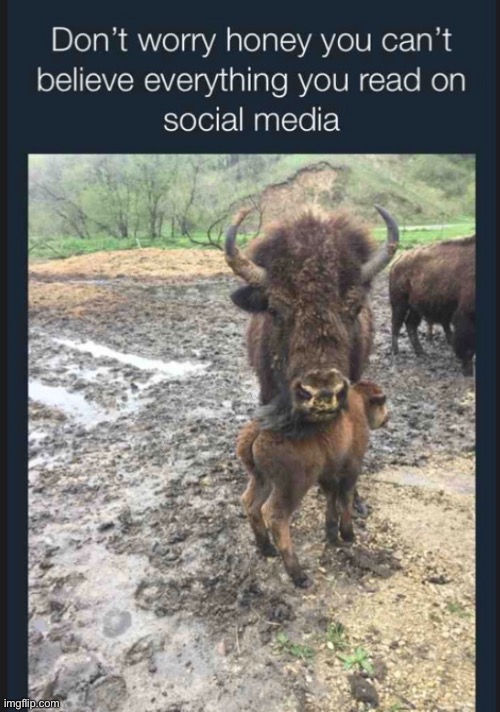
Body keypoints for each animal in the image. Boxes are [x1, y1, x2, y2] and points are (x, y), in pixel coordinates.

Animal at [389, 235, 476, 375]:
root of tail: (397, 261)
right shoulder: (466, 315)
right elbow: (467, 344)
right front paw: (468, 370)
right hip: (399, 304)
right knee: (396, 324)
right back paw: (395, 351)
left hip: (415, 308)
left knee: (410, 324)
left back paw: (420, 352)